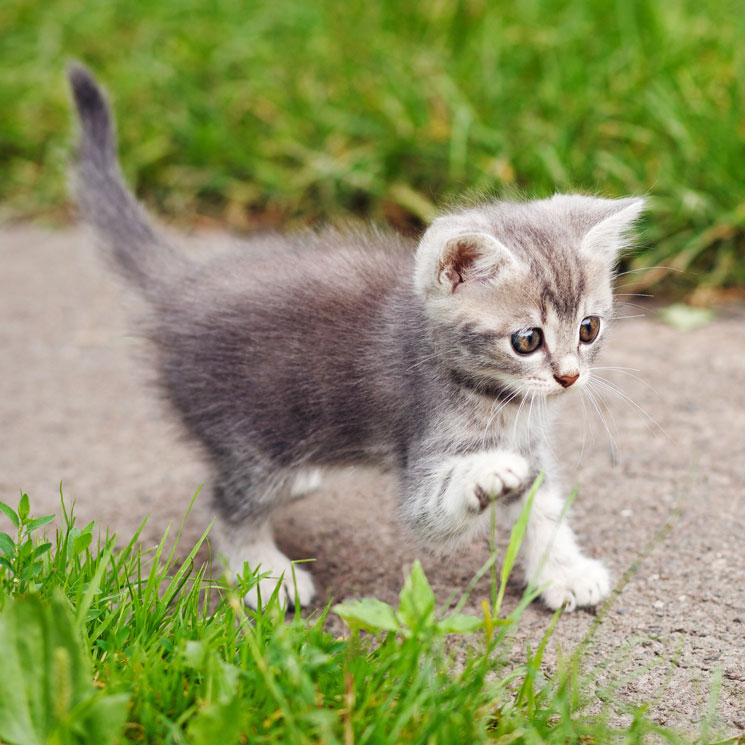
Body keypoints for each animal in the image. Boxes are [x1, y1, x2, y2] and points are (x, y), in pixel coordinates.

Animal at [67, 64, 644, 612]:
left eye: (588, 329)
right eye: (527, 340)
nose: (569, 376)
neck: (497, 398)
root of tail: (182, 285)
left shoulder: (533, 445)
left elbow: (544, 509)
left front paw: (563, 572)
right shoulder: (425, 445)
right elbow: (433, 506)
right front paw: (485, 475)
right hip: (251, 433)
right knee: (228, 504)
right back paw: (264, 574)